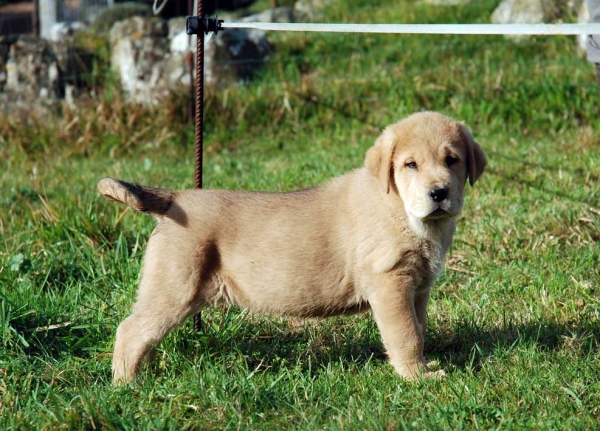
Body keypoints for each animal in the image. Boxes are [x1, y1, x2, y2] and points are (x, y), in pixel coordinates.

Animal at [97, 111, 482, 384]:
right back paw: (127, 385)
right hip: (173, 287)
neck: (401, 207)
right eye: (410, 165)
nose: (439, 192)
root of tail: (175, 199)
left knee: (143, 334)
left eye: (452, 160)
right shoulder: (391, 285)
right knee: (130, 331)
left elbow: (419, 328)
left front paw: (424, 366)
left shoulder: (417, 288)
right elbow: (406, 335)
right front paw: (418, 377)